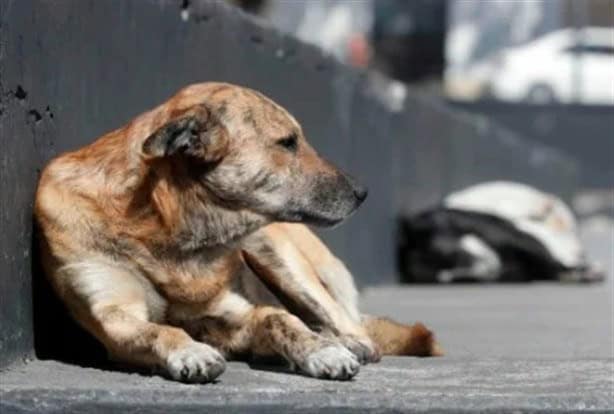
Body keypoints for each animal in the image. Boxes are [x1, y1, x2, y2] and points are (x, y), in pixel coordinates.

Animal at [35, 82, 442, 384]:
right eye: (288, 142)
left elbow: (280, 319)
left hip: (276, 252)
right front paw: (191, 350)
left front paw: (322, 350)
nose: (363, 192)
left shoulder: (236, 314)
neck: (167, 232)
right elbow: (161, 330)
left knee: (352, 328)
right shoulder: (113, 317)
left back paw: (343, 340)